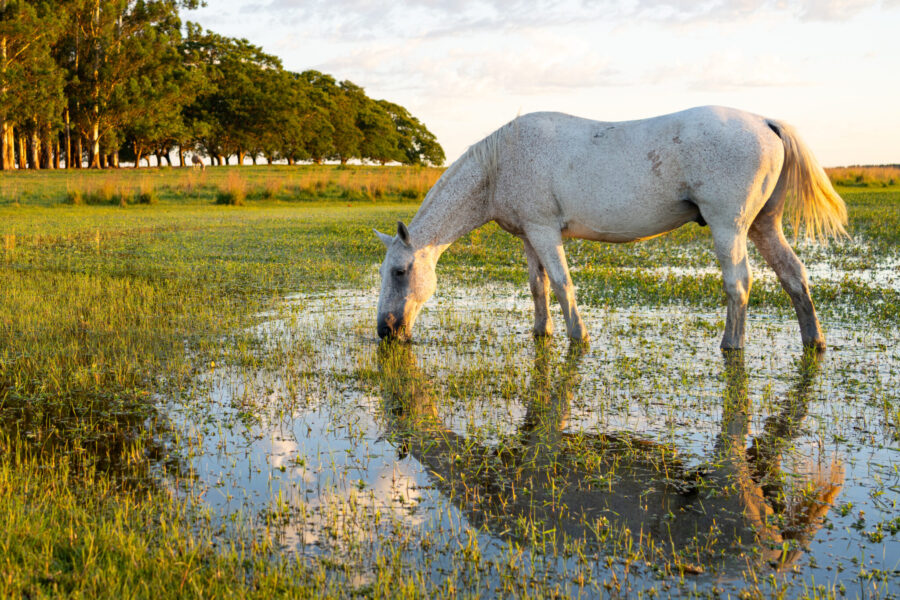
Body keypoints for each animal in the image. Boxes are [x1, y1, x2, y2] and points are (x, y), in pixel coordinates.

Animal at [374, 106, 847, 350]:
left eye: (400, 272)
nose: (385, 331)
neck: (500, 164)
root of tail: (766, 121)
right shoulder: (529, 237)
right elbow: (538, 287)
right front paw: (542, 332)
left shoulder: (545, 232)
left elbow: (562, 284)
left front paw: (577, 336)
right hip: (764, 227)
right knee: (794, 276)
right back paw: (814, 341)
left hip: (728, 228)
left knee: (739, 284)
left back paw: (731, 344)